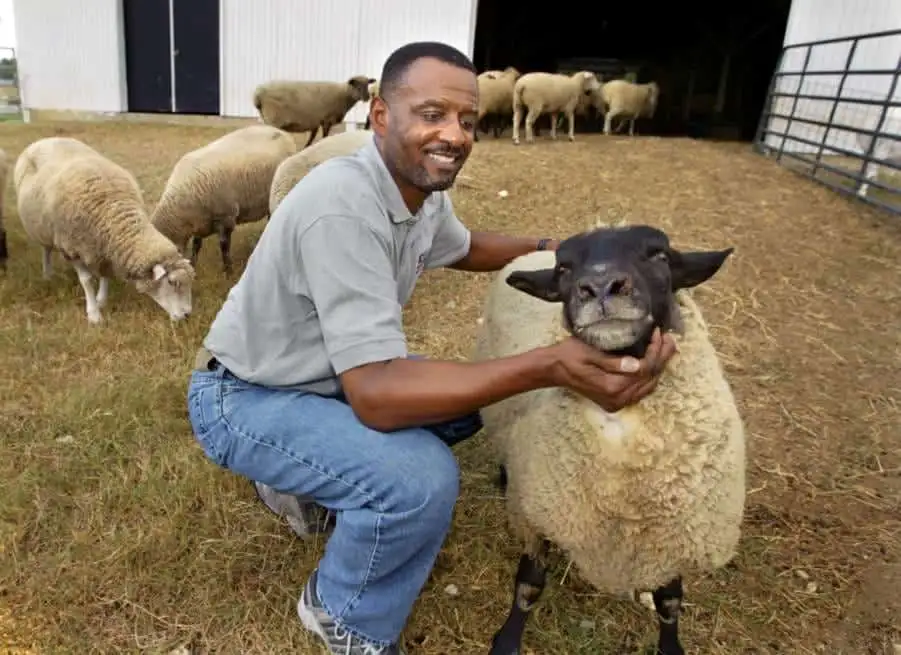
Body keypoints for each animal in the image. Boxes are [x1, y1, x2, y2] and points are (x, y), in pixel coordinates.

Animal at [13, 137, 195, 325]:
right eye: (172, 283)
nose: (187, 315)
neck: (113, 211)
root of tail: (45, 140)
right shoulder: (72, 249)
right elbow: (86, 281)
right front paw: (94, 314)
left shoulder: (105, 250)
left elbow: (105, 275)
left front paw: (101, 300)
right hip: (42, 229)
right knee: (46, 250)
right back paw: (47, 273)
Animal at [151, 124, 297, 276]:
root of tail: (280, 131)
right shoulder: (200, 223)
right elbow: (196, 245)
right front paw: (194, 264)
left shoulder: (226, 217)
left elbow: (224, 246)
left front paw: (228, 271)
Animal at [472, 221, 745, 655]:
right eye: (564, 268)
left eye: (660, 255)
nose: (600, 287)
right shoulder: (537, 514)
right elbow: (529, 586)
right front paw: (507, 641)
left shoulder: (674, 536)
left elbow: (670, 602)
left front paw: (671, 646)